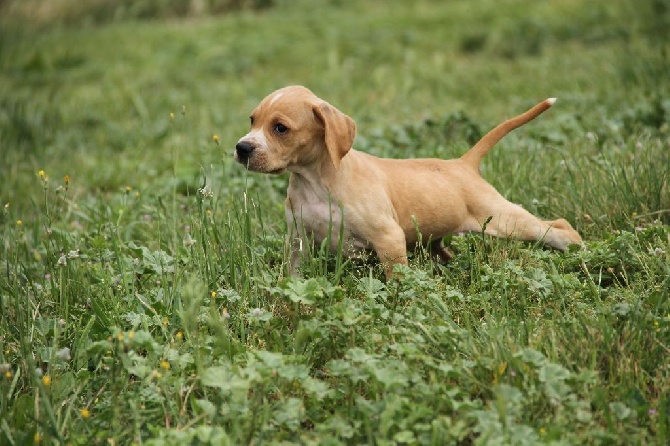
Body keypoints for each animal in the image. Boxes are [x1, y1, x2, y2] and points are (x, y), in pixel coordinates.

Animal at [236, 85, 584, 278]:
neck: (315, 181)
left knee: (558, 226)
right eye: (252, 120)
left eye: (280, 128)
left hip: (504, 220)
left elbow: (397, 283)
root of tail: (463, 164)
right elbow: (293, 277)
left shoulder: (389, 239)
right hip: (434, 239)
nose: (242, 148)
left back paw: (579, 250)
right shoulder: (298, 241)